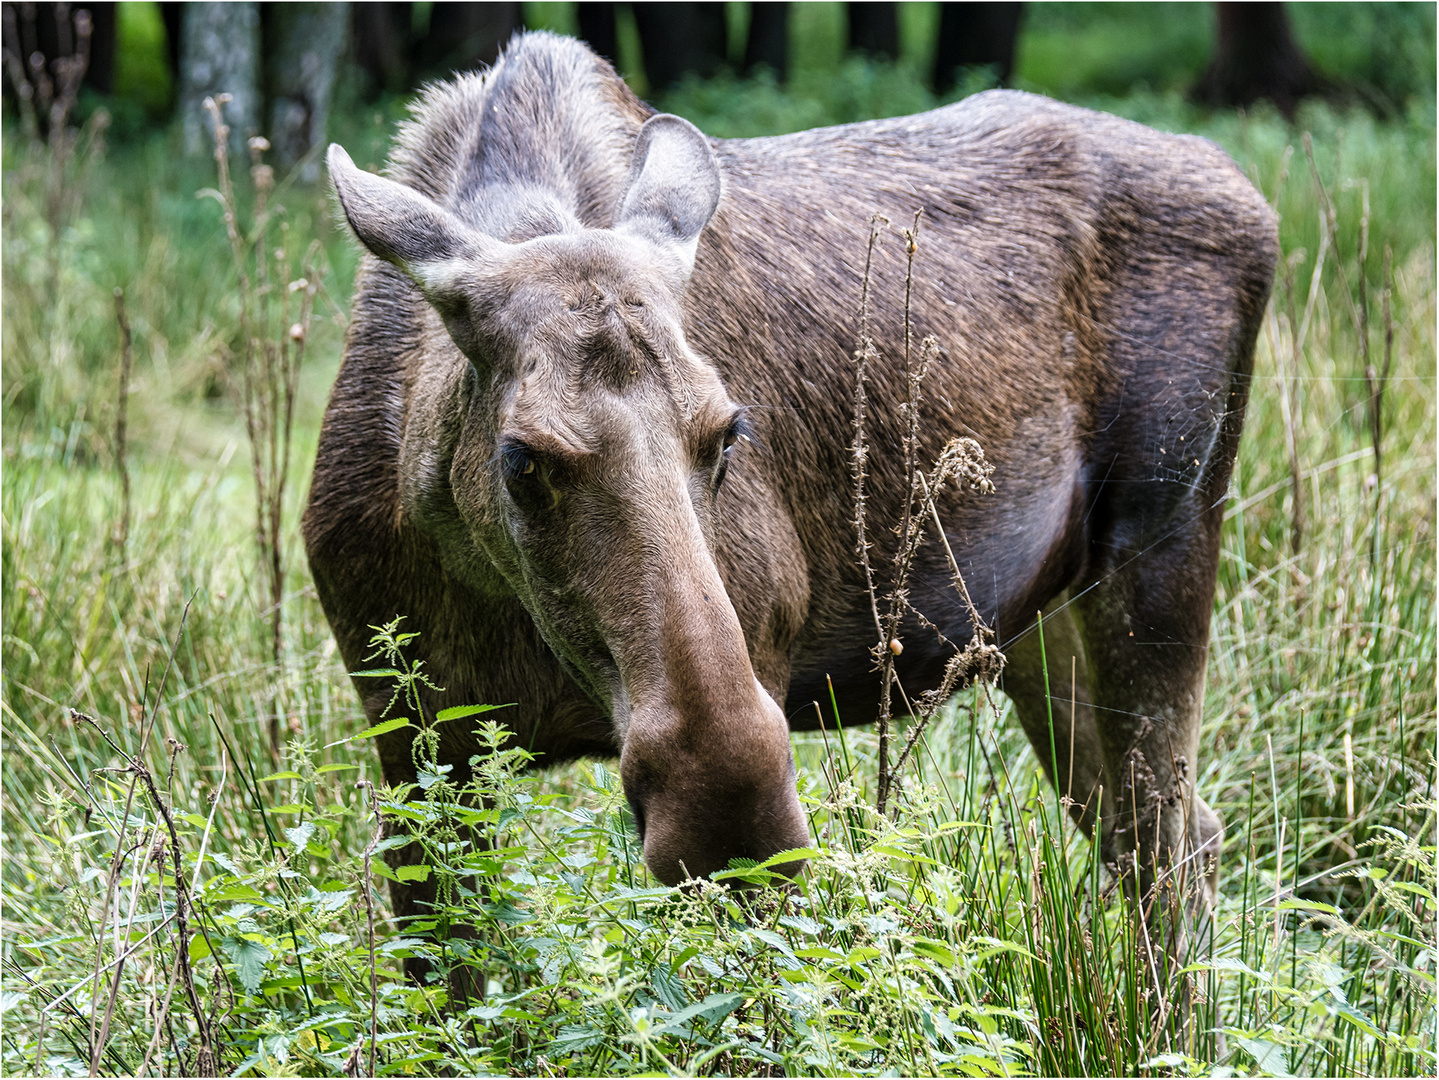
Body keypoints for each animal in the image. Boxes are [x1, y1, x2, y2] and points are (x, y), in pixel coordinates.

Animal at [309, 31, 1277, 960]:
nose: (727, 818)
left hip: (1164, 535)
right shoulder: (409, 741)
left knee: (1163, 837)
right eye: (521, 459)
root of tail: (1254, 199)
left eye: (728, 430)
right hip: (1036, 617)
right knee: (1161, 832)